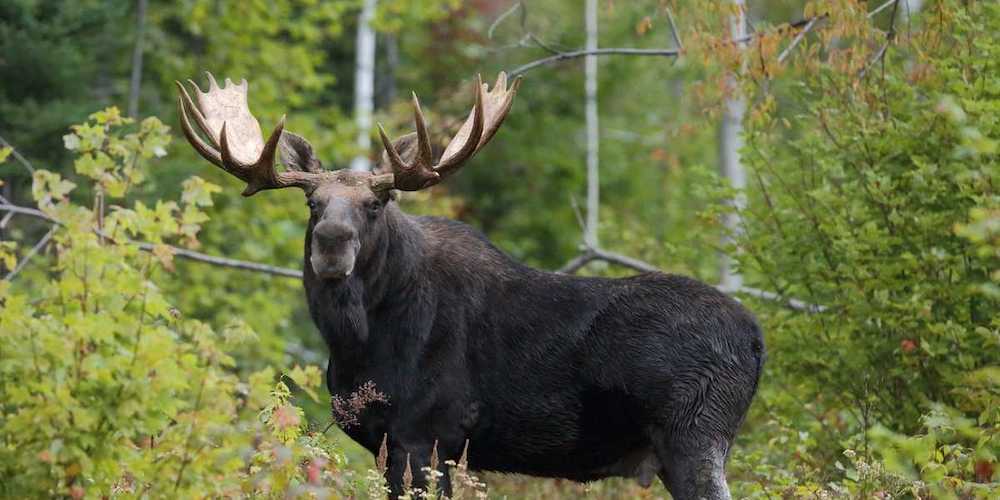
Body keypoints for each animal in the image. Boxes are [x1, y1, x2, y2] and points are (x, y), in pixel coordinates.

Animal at [176, 71, 764, 500]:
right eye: (312, 203)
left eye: (376, 203)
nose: (331, 242)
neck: (357, 343)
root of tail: (758, 341)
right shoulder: (392, 441)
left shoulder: (429, 434)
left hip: (695, 435)